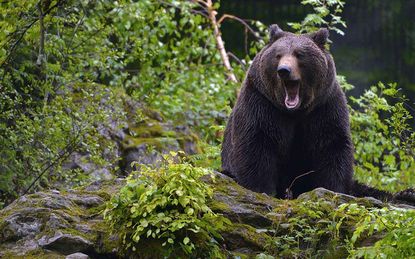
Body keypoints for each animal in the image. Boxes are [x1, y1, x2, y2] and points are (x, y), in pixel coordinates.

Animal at [223, 23, 402, 200]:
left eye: (299, 54)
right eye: (278, 55)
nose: (284, 70)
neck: (296, 112)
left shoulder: (324, 107)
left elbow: (331, 145)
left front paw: (333, 189)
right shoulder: (261, 102)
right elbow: (256, 142)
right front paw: (262, 188)